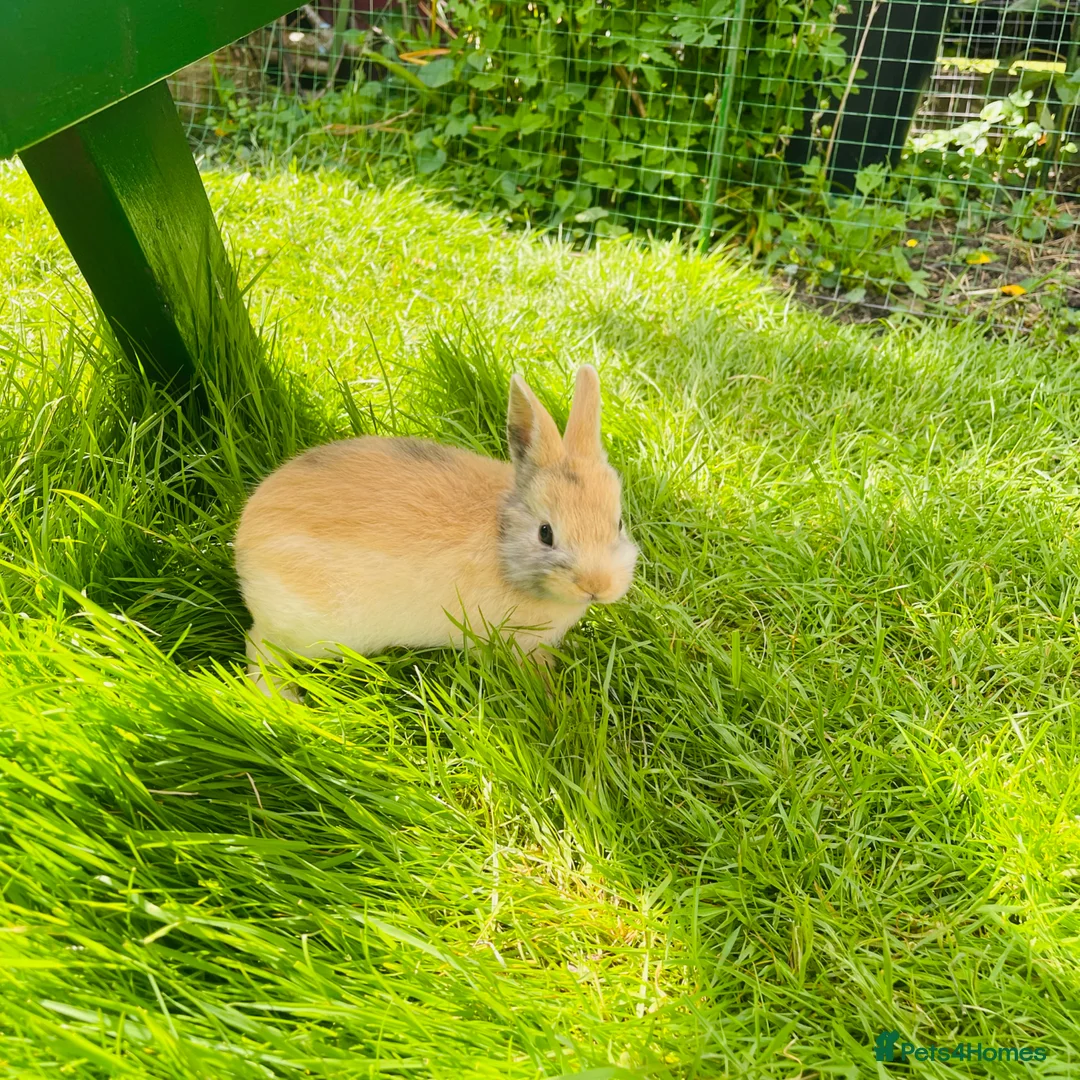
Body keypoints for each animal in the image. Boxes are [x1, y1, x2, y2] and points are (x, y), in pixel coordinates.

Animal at [234, 365, 638, 698]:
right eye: (545, 533)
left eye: (618, 523)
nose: (597, 586)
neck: (502, 540)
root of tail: (245, 542)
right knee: (258, 643)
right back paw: (281, 698)